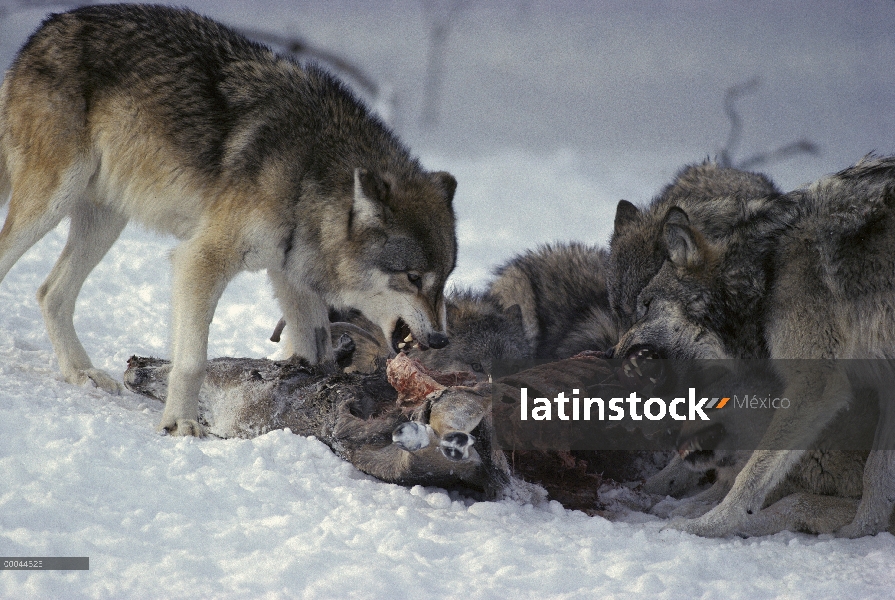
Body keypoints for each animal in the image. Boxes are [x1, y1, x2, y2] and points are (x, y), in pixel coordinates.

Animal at [0, 4, 458, 436]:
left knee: (50, 293)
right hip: (50, 201)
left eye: (444, 280)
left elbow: (318, 353)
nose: (440, 339)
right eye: (412, 277)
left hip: (107, 220)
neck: (309, 177)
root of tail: (46, 28)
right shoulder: (199, 261)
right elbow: (192, 362)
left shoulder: (290, 276)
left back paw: (82, 373)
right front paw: (180, 424)